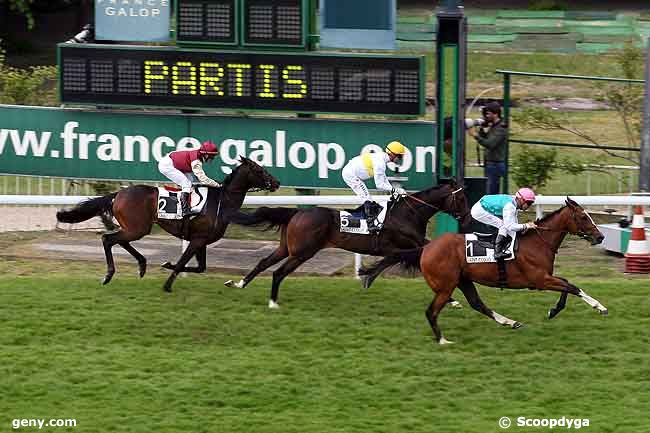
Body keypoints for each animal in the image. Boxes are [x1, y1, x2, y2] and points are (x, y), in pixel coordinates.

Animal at [56, 155, 278, 290]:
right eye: (259, 170)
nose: (276, 182)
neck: (221, 201)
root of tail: (118, 193)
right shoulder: (197, 240)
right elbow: (183, 262)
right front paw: (167, 284)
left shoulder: (201, 240)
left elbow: (199, 267)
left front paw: (167, 264)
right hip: (138, 228)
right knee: (108, 239)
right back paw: (109, 274)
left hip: (136, 228)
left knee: (119, 240)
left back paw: (142, 265)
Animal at [225, 181, 468, 308]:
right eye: (461, 198)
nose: (466, 218)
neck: (408, 214)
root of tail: (297, 212)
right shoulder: (403, 247)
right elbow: (401, 261)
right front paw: (451, 299)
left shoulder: (412, 246)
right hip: (303, 252)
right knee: (278, 272)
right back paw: (273, 302)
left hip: (287, 248)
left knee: (264, 262)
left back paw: (239, 284)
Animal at [360, 197, 608, 344]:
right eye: (583, 216)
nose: (601, 236)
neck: (539, 241)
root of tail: (426, 247)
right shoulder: (539, 280)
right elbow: (572, 286)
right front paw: (600, 306)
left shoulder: (543, 279)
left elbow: (567, 285)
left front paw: (554, 310)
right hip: (446, 286)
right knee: (432, 311)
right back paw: (442, 340)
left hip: (463, 280)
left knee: (477, 304)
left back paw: (509, 322)